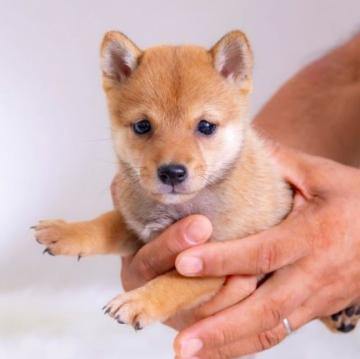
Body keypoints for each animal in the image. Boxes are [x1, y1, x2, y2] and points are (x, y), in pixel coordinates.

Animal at [33, 31, 292, 332]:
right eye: (142, 126)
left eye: (206, 126)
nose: (172, 172)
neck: (176, 210)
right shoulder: (137, 230)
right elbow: (106, 223)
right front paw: (66, 231)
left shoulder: (218, 260)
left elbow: (174, 282)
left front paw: (138, 301)